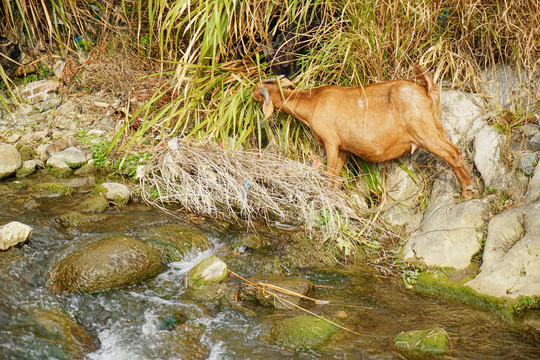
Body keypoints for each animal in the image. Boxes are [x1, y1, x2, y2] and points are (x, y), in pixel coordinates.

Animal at [253, 67, 472, 197]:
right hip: (436, 126)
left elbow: (329, 173)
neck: (313, 103)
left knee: (453, 153)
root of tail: (428, 91)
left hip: (424, 131)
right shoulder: (343, 147)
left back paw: (468, 192)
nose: (252, 90)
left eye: (259, 92)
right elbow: (337, 174)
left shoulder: (330, 141)